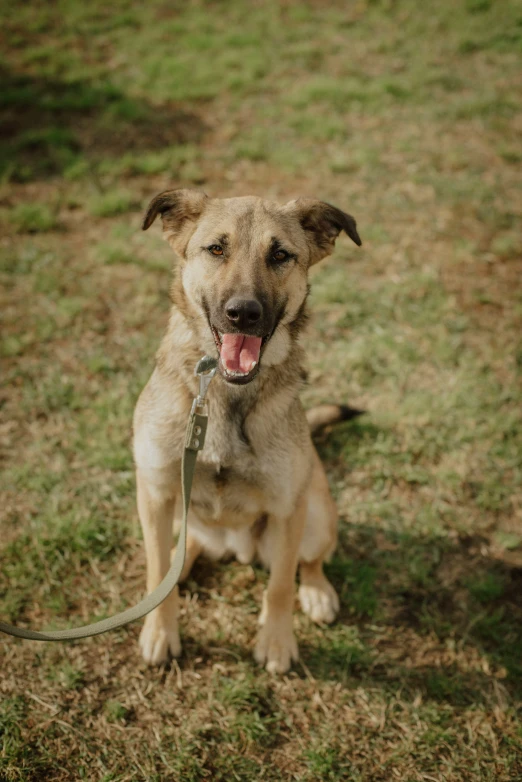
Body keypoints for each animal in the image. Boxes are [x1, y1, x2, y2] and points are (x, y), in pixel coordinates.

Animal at [134, 190, 360, 672]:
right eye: (216, 249)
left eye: (280, 255)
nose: (242, 313)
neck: (222, 392)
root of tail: (237, 547)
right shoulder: (156, 492)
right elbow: (157, 569)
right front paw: (160, 631)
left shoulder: (288, 509)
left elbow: (280, 586)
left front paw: (276, 642)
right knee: (180, 554)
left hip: (315, 515)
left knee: (307, 564)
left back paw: (316, 592)